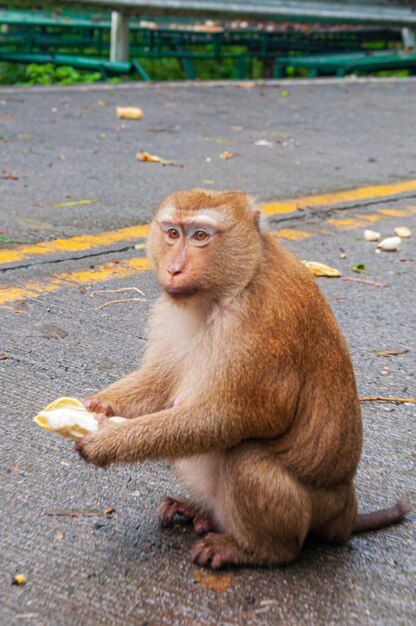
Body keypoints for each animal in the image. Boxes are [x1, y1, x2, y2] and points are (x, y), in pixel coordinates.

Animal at [75, 188, 410, 568]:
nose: (174, 268)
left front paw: (106, 442)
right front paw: (99, 406)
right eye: (173, 233)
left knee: (247, 458)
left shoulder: (262, 325)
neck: (234, 286)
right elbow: (163, 381)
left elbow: (232, 417)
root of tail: (346, 510)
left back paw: (259, 550)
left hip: (309, 512)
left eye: (200, 236)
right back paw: (201, 512)